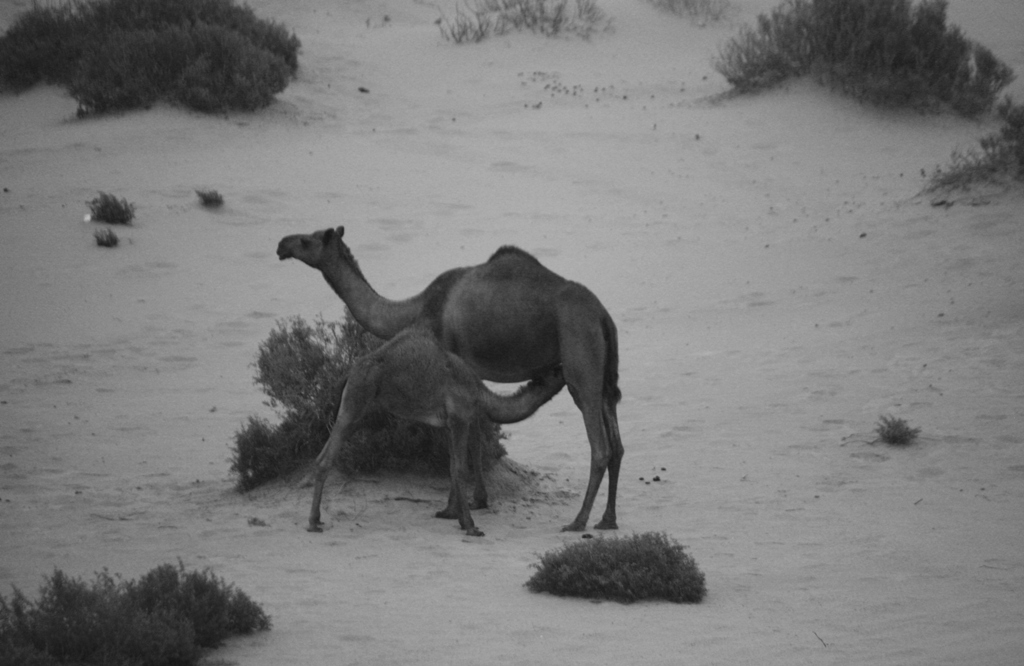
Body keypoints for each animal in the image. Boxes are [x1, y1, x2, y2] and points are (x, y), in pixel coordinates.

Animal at [274, 225, 622, 532]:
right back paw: (607, 520)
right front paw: (477, 501)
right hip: (605, 375)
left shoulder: (450, 358)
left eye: (307, 241)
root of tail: (603, 316)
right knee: (617, 444)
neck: (416, 308)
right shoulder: (467, 372)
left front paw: (453, 508)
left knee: (599, 446)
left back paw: (578, 521)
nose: (281, 245)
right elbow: (475, 435)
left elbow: (463, 444)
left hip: (581, 364)